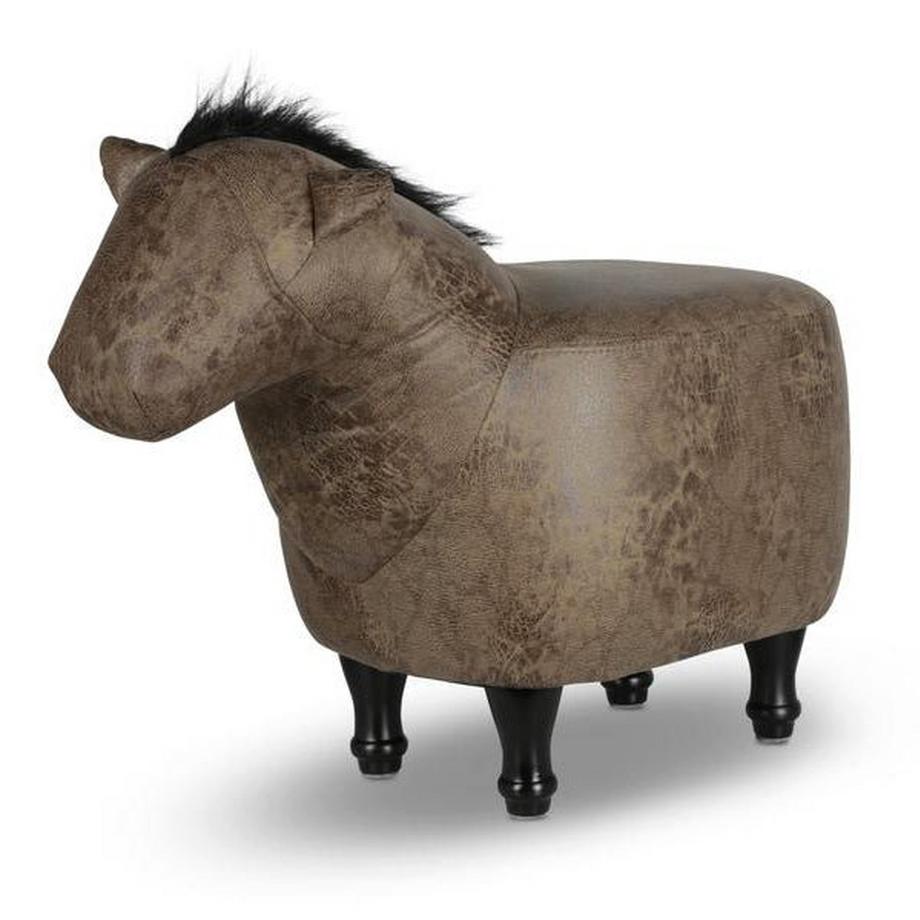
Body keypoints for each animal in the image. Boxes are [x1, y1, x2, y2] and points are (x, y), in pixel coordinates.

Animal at [49, 85, 848, 817]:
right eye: (121, 231)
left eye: (227, 255)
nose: (81, 373)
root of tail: (804, 295)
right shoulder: (368, 625)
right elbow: (370, 688)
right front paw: (377, 762)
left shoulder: (519, 645)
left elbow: (523, 719)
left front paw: (528, 798)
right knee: (633, 651)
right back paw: (628, 689)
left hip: (787, 587)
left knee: (777, 652)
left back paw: (772, 726)